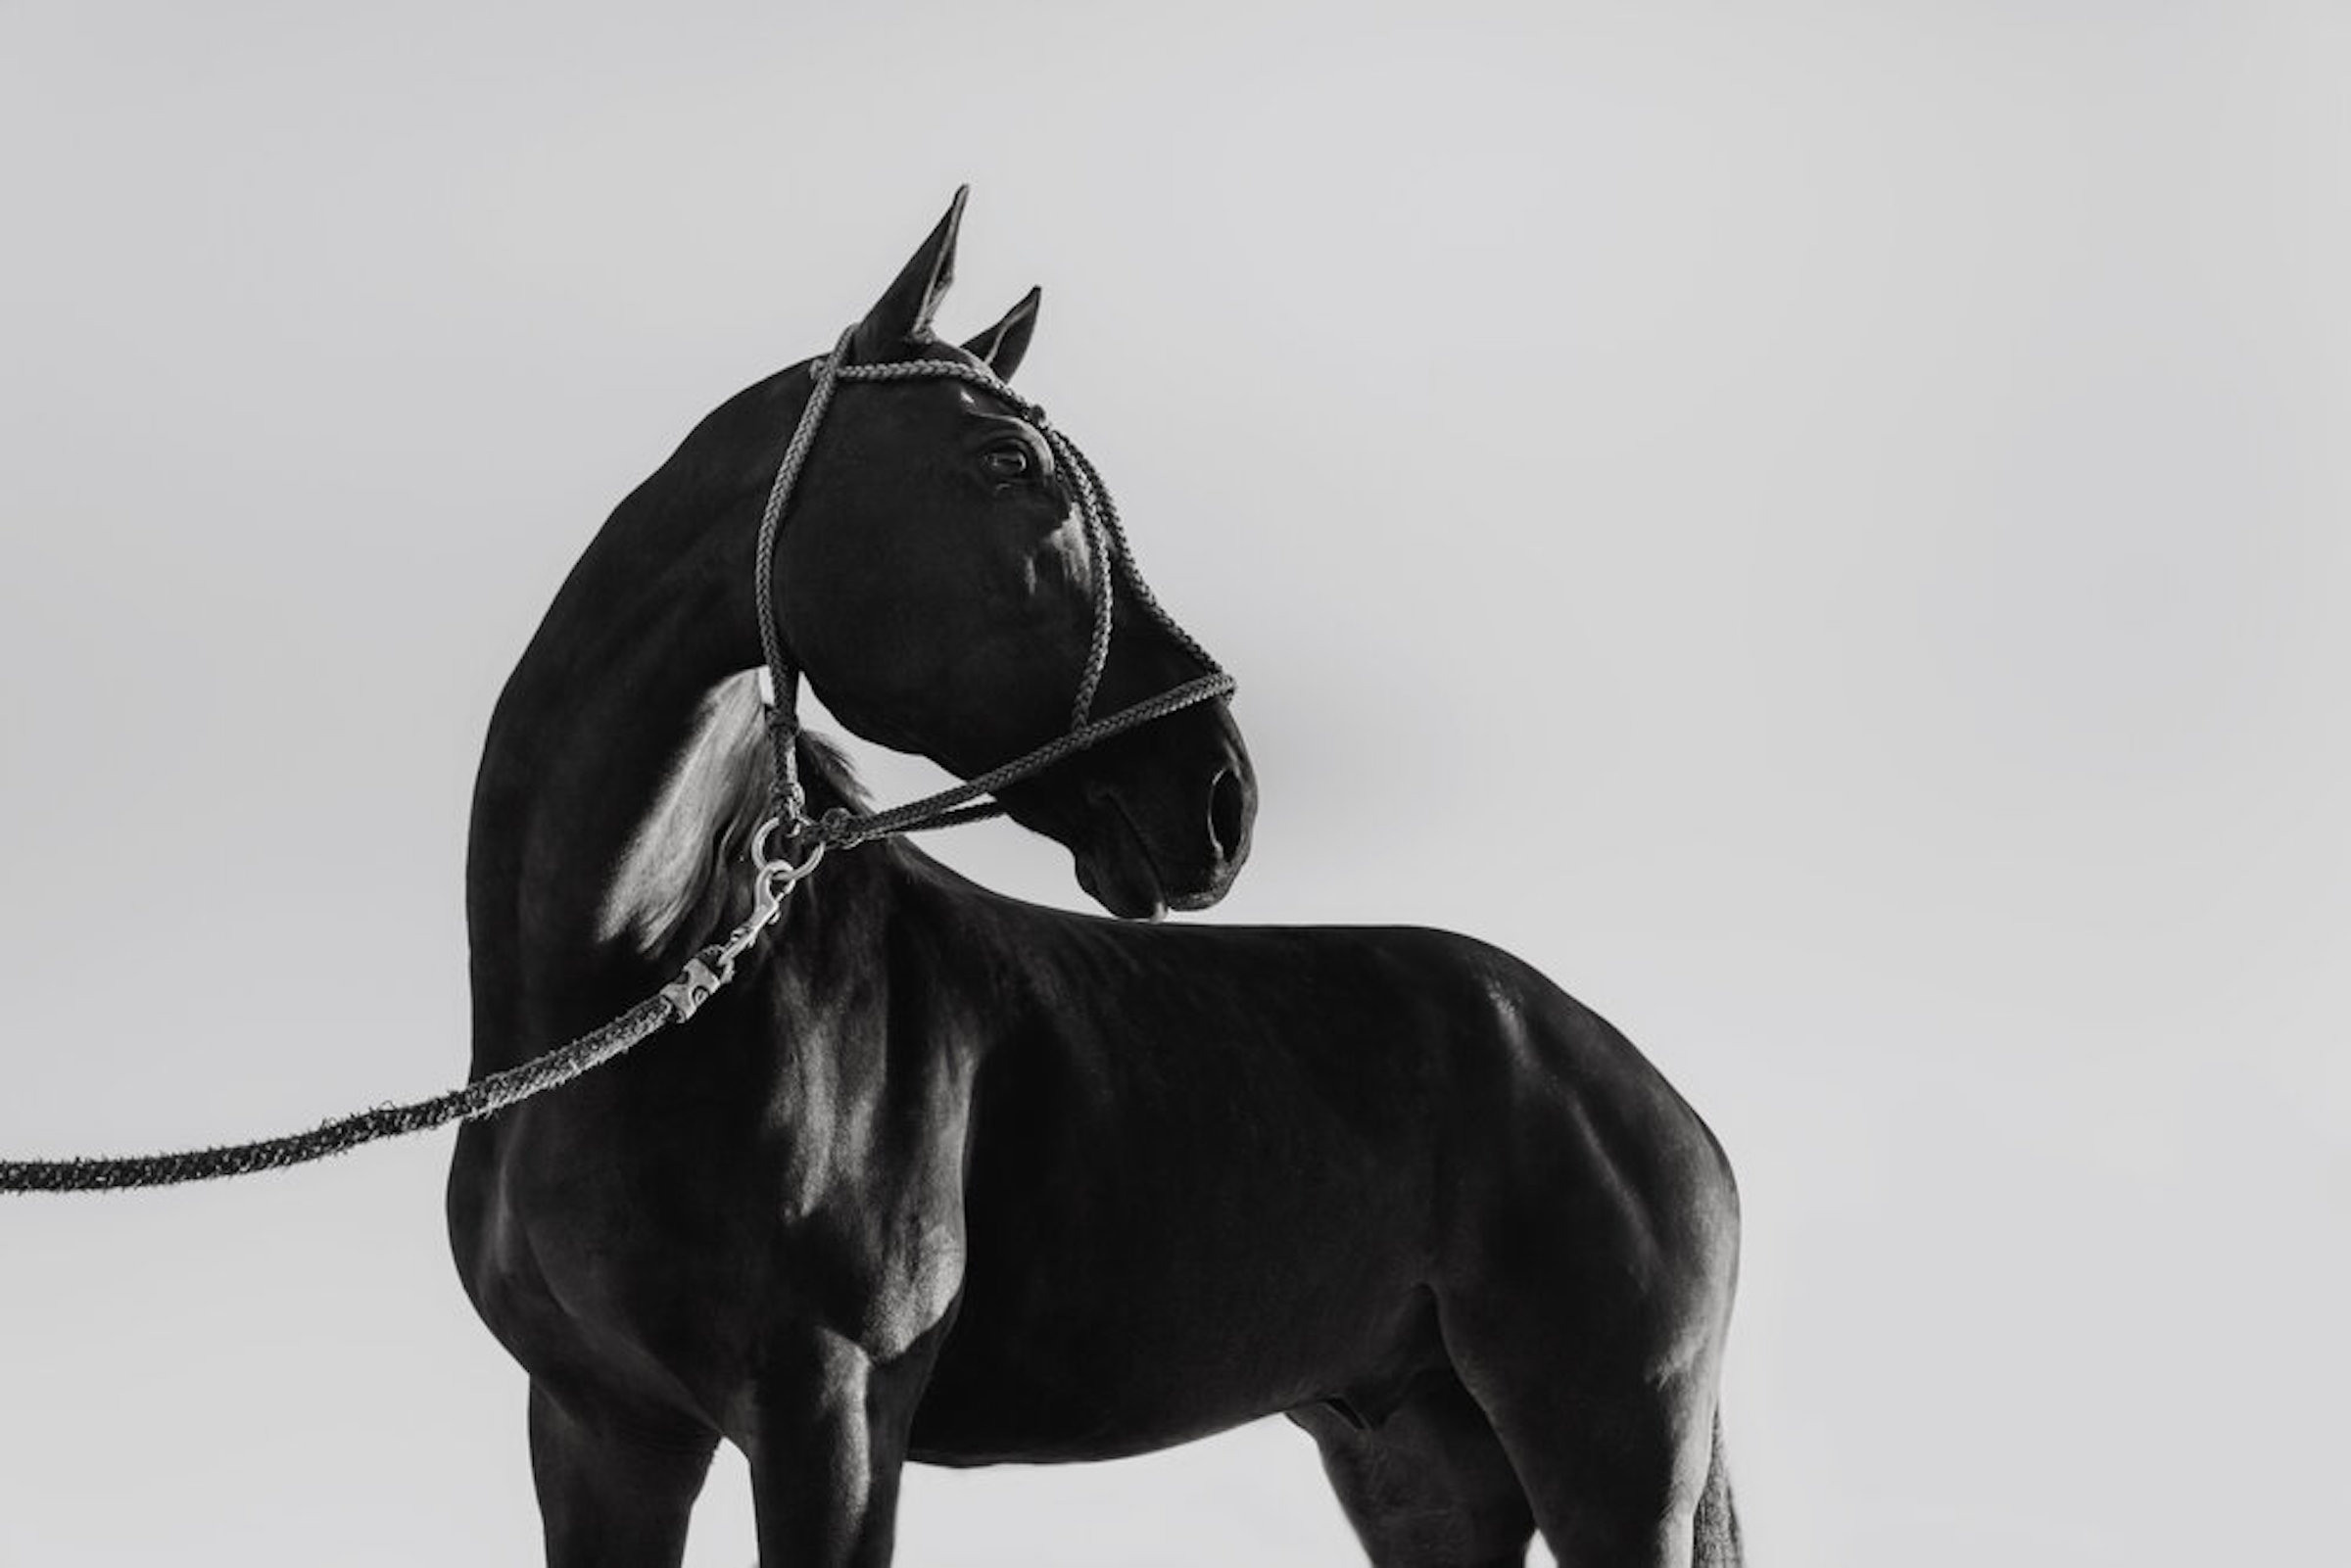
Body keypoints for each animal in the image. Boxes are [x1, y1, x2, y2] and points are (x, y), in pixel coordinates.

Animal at [449, 190, 1744, 1568]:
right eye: (1008, 464)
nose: (1221, 794)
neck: (634, 978)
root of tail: (1650, 1099)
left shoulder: (828, 1419)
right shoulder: (600, 1429)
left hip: (1611, 1463)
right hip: (1421, 1464)